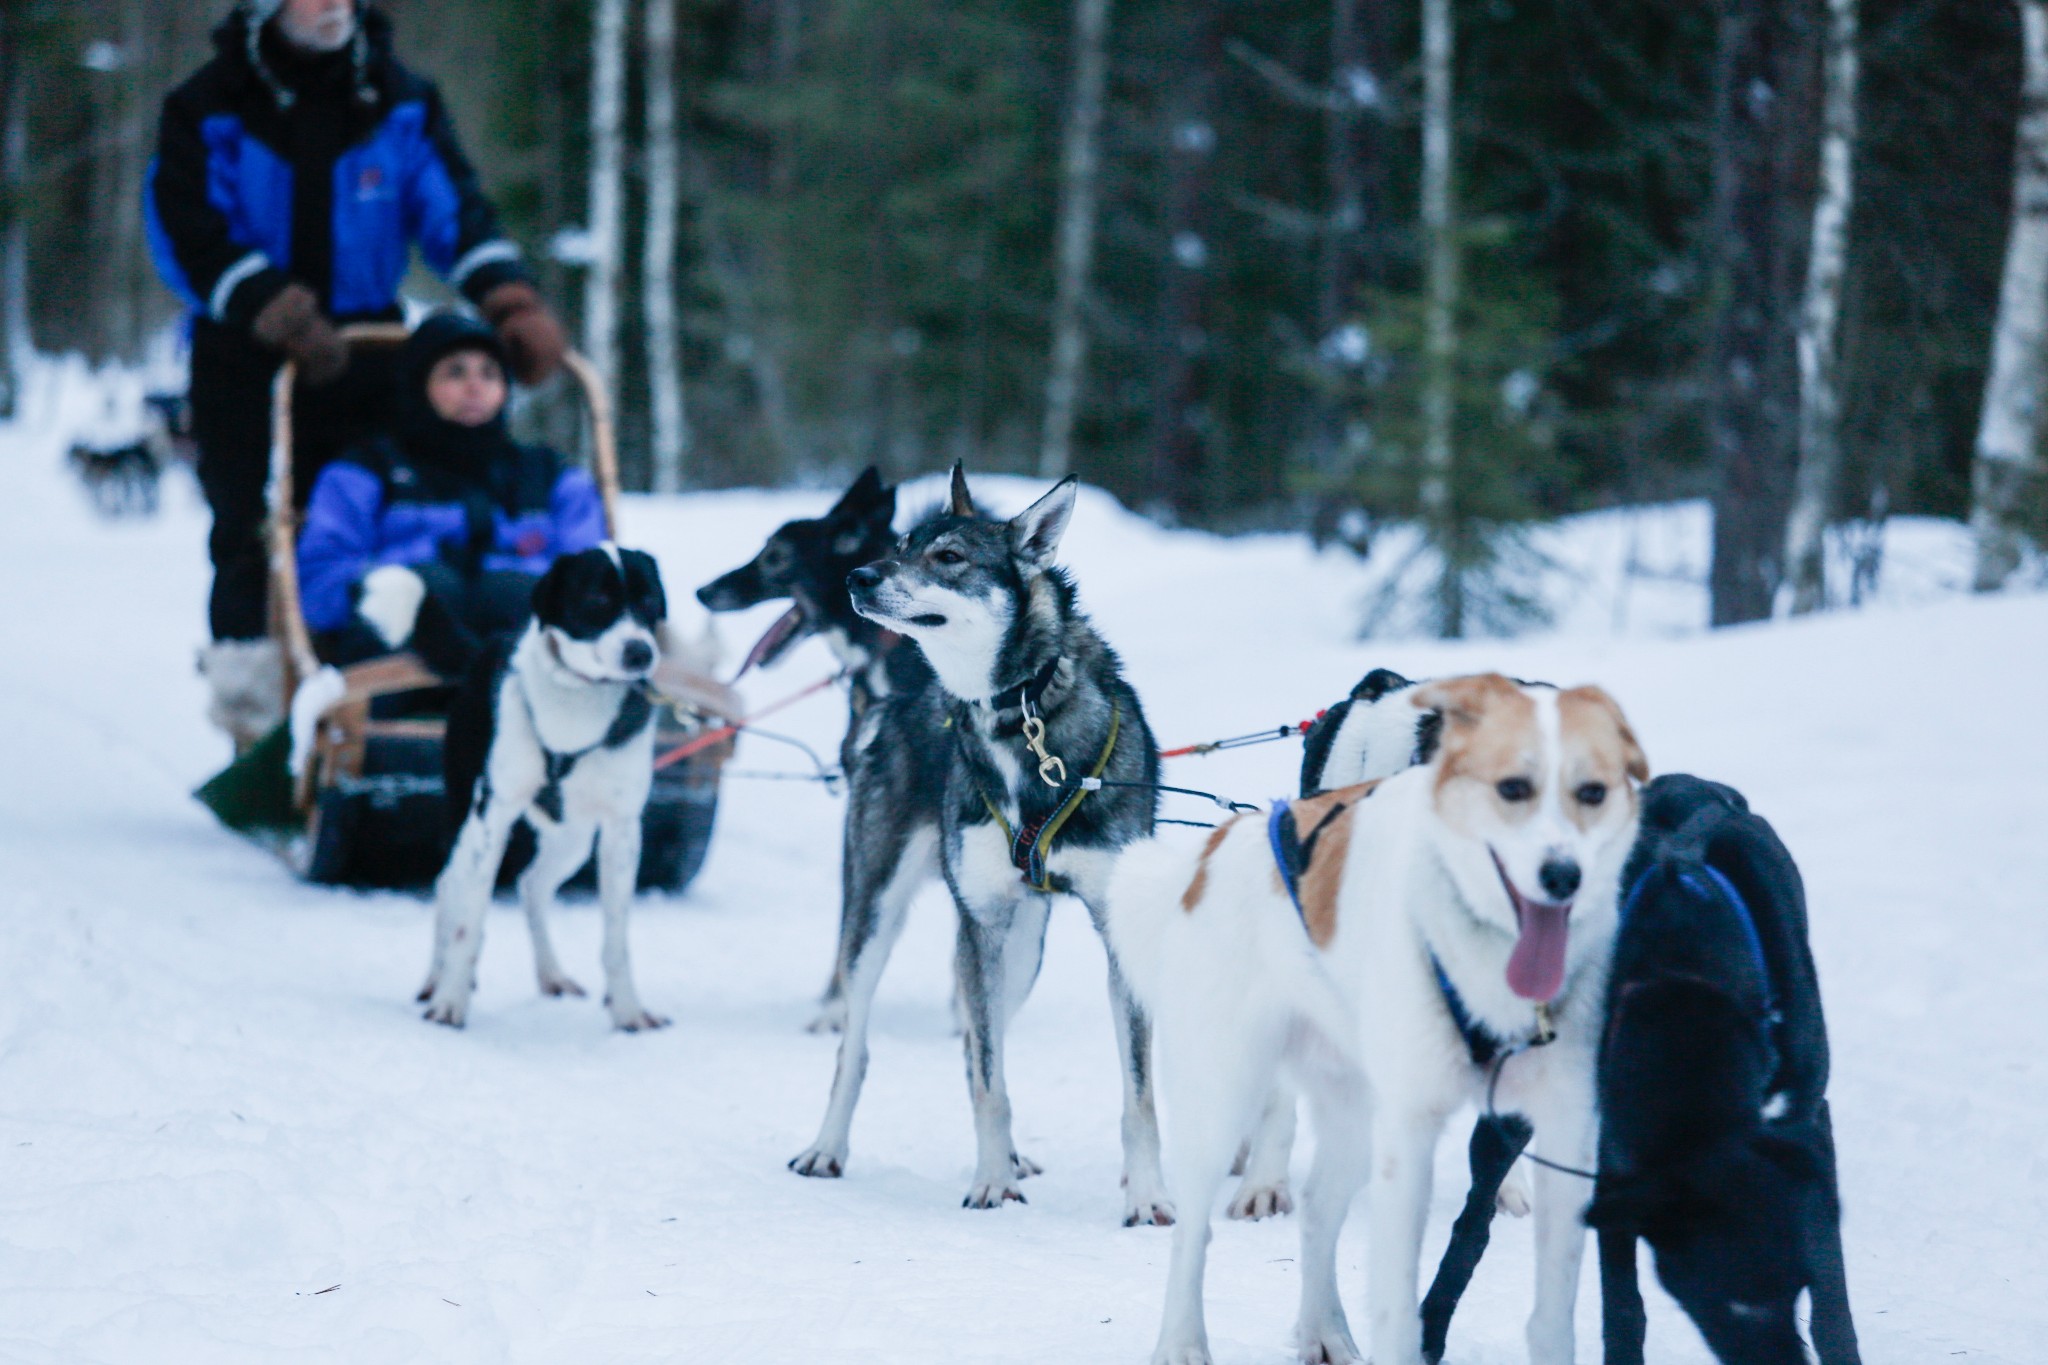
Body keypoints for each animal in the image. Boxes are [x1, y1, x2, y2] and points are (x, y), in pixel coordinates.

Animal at [415, 544, 671, 1035]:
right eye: (597, 600)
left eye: (649, 601)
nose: (640, 651)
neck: (578, 704)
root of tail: (487, 644)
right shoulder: (492, 820)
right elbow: (469, 925)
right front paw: (451, 1001)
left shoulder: (621, 829)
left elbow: (616, 940)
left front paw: (627, 1010)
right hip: (467, 824)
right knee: (448, 885)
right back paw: (436, 978)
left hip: (572, 838)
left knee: (531, 884)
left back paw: (551, 974)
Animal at [794, 472, 1187, 1227]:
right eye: (899, 546)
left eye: (948, 557)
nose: (860, 576)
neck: (1019, 715)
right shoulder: (979, 922)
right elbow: (987, 1080)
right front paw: (990, 1182)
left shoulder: (1109, 931)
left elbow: (1140, 1093)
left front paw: (1149, 1195)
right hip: (878, 915)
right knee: (859, 1046)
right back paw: (827, 1147)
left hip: (1022, 951)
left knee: (982, 1041)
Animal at [1105, 671, 1646, 1365]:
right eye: (1512, 788)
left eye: (1592, 792)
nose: (1562, 875)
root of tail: (1217, 846)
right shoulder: (1407, 1139)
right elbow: (1399, 1304)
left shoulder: (1563, 1129)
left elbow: (1553, 1315)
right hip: (1221, 1099)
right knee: (1194, 1230)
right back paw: (1181, 1341)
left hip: (1356, 1119)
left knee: (1318, 1210)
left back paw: (1324, 1331)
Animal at [1589, 777, 1867, 1365]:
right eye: (1726, 1304)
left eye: (1794, 1288)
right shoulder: (1618, 1158)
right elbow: (1622, 1304)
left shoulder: (1807, 1127)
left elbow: (1831, 1296)